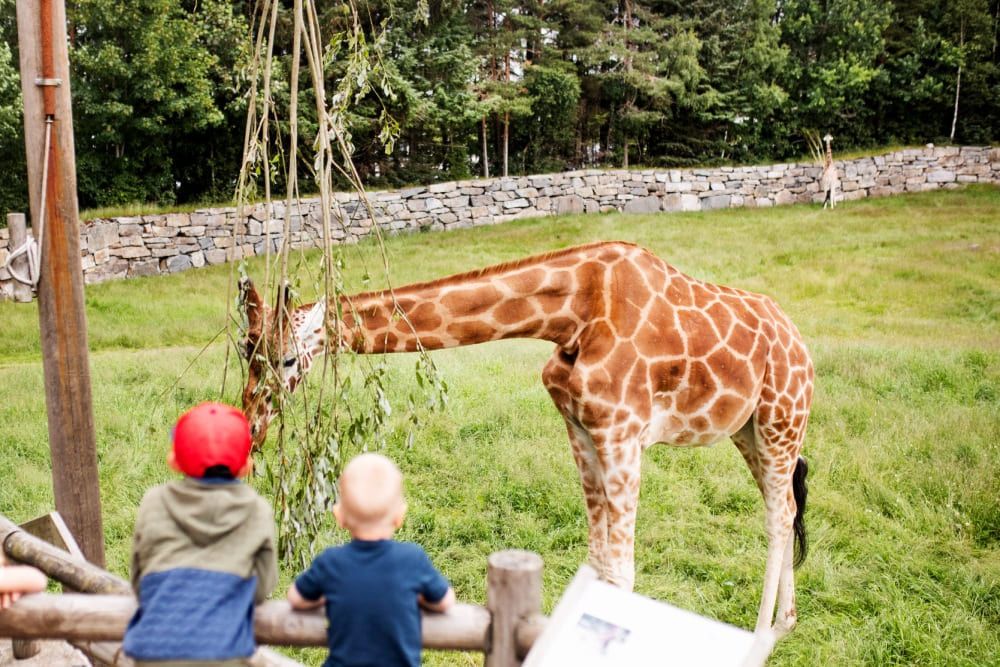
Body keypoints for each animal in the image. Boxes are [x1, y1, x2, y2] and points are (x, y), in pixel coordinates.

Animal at [239, 240, 813, 638]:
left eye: (286, 359)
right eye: (248, 353)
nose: (252, 427)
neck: (573, 314)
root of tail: (800, 343)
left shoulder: (623, 433)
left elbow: (622, 571)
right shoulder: (581, 429)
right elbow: (598, 560)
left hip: (782, 418)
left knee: (778, 513)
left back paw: (762, 633)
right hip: (749, 432)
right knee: (783, 503)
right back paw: (786, 624)